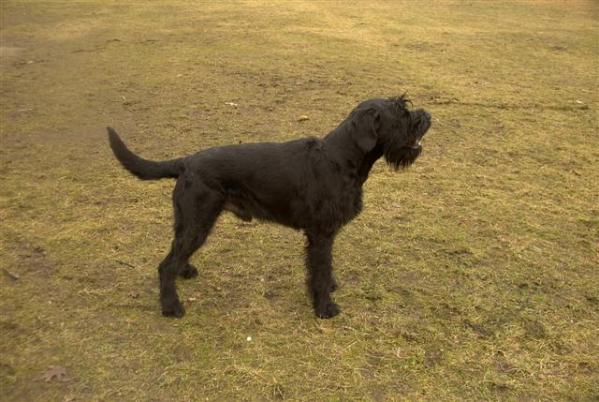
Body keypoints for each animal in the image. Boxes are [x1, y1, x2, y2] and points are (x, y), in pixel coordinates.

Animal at [108, 96, 432, 318]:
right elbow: (320, 268)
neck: (342, 158)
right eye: (402, 112)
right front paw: (324, 307)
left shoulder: (324, 234)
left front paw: (330, 288)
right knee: (165, 265)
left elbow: (326, 267)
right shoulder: (321, 233)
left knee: (176, 254)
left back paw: (184, 272)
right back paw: (171, 307)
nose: (427, 115)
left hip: (191, 223)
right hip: (197, 222)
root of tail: (186, 162)